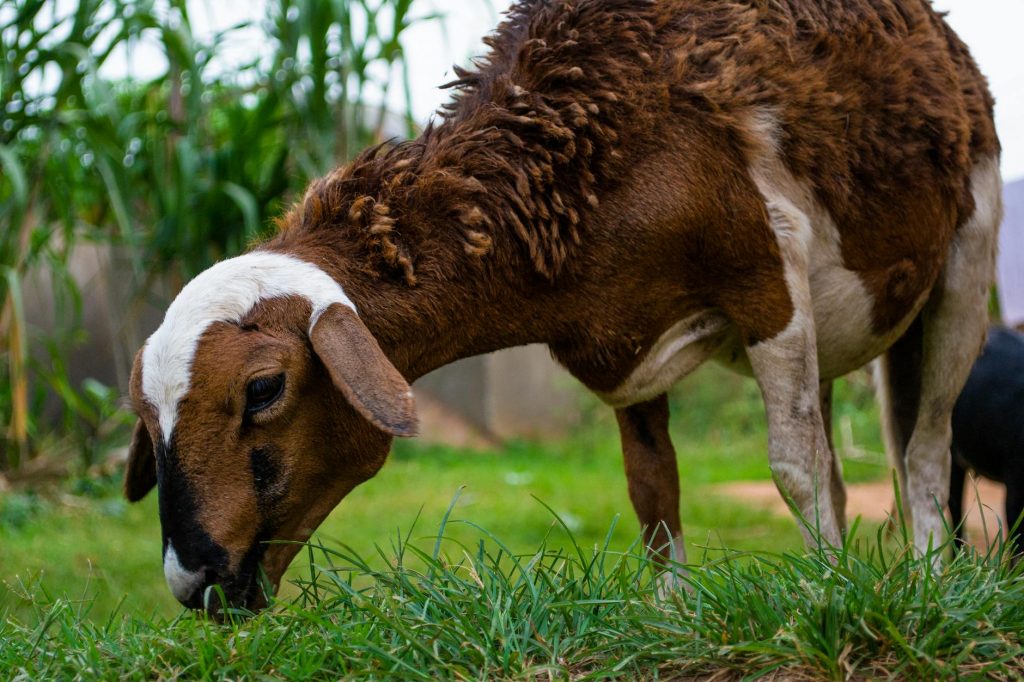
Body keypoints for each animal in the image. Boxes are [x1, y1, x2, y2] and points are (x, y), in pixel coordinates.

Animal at [123, 0, 1001, 610]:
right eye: (145, 412)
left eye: (263, 389)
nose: (192, 578)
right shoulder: (625, 349)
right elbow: (653, 489)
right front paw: (675, 616)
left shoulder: (768, 279)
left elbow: (795, 467)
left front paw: (830, 597)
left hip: (967, 262)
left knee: (925, 450)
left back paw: (929, 582)